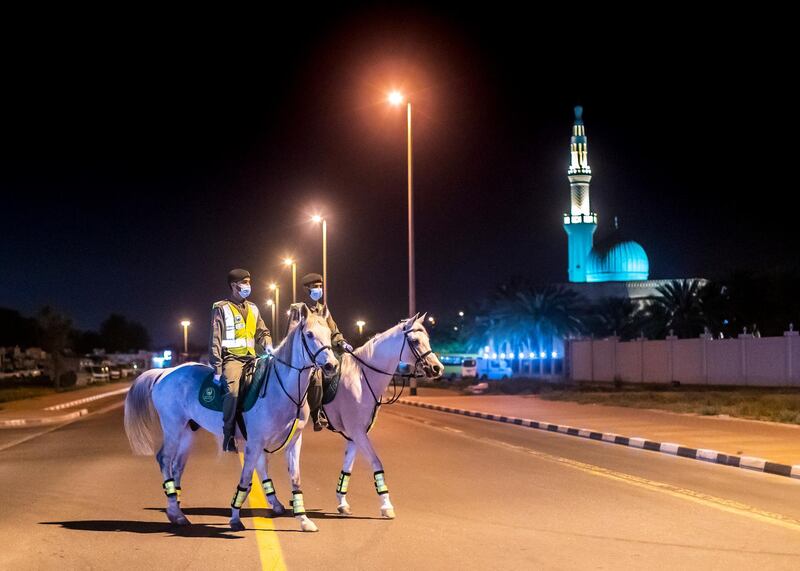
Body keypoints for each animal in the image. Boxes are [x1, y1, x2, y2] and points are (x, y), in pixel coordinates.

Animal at [125, 306, 338, 536]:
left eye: (329, 334)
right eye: (309, 334)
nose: (331, 365)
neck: (281, 389)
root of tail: (165, 373)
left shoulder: (293, 443)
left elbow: (294, 479)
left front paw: (304, 520)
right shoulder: (255, 444)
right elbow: (246, 479)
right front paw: (235, 519)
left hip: (187, 433)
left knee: (177, 466)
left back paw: (175, 512)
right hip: (173, 427)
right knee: (165, 459)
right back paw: (176, 513)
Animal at [260, 316, 440, 520]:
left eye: (427, 339)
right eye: (415, 341)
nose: (437, 368)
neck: (362, 378)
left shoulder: (355, 435)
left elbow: (347, 468)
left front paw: (342, 503)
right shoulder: (358, 432)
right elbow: (376, 462)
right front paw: (386, 505)